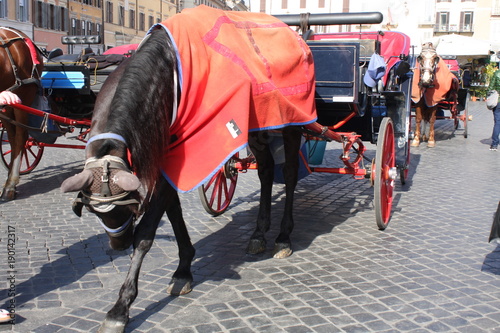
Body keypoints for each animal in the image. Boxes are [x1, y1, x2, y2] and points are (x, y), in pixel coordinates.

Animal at [60, 6, 314, 330]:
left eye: (128, 207)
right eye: (94, 211)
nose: (118, 244)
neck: (165, 78)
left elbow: (147, 232)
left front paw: (121, 307)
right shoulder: (166, 161)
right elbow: (174, 212)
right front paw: (184, 268)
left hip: (292, 123)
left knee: (291, 174)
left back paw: (283, 236)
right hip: (258, 127)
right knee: (267, 171)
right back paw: (258, 233)